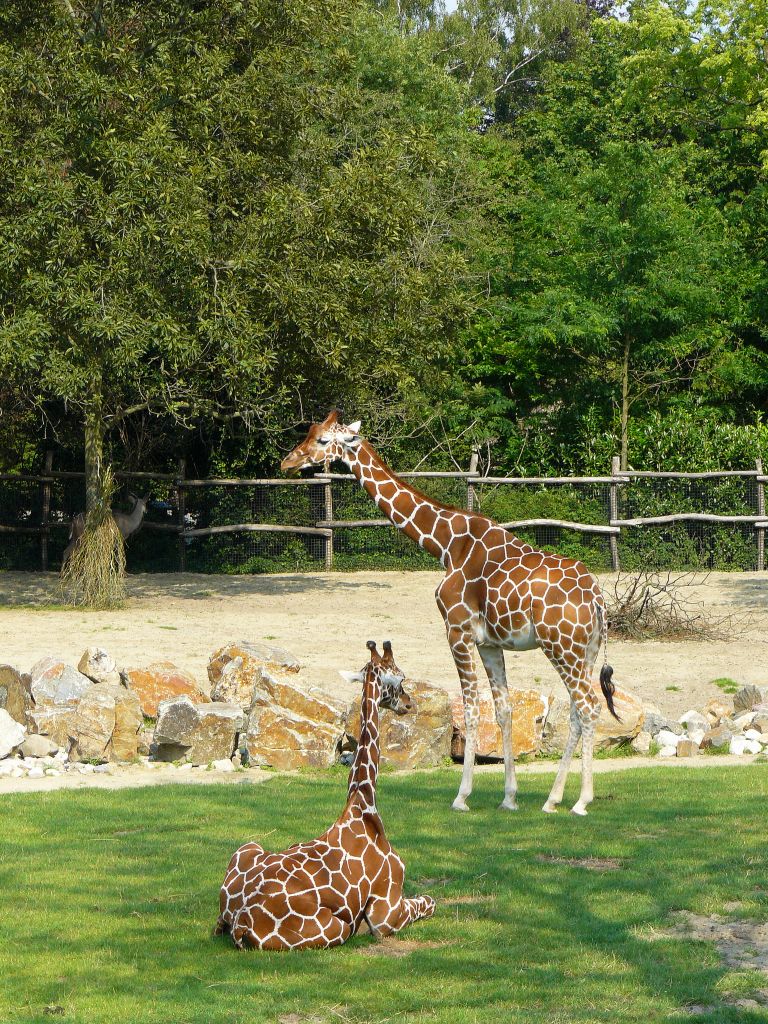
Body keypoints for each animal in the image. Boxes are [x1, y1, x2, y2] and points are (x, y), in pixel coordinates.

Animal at [217, 638, 436, 950]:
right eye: (401, 677)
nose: (408, 704)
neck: (363, 804)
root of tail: (241, 923)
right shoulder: (386, 913)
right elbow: (430, 901)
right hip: (337, 928)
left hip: (248, 845)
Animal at [280, 409, 622, 815]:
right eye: (308, 433)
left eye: (320, 440)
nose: (287, 462)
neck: (445, 544)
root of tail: (597, 598)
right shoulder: (490, 642)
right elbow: (503, 710)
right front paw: (509, 797)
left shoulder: (457, 631)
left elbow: (472, 710)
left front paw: (462, 796)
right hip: (584, 651)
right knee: (575, 711)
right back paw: (552, 799)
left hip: (562, 648)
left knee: (589, 708)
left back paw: (581, 801)